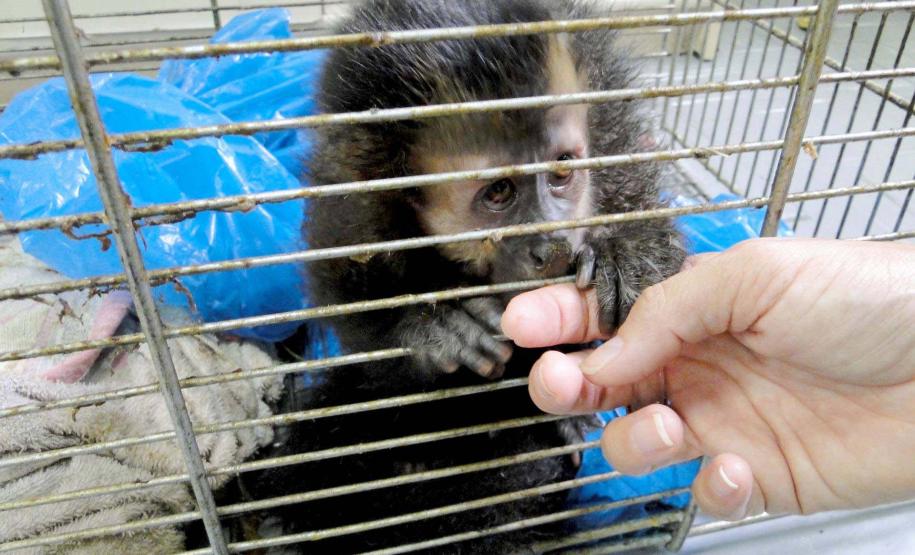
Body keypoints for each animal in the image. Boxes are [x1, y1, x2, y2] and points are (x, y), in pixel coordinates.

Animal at [242, 1, 687, 553]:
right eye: (498, 193)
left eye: (562, 171)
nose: (551, 246)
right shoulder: (353, 179)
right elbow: (349, 298)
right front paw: (431, 326)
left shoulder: (610, 118)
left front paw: (627, 253)